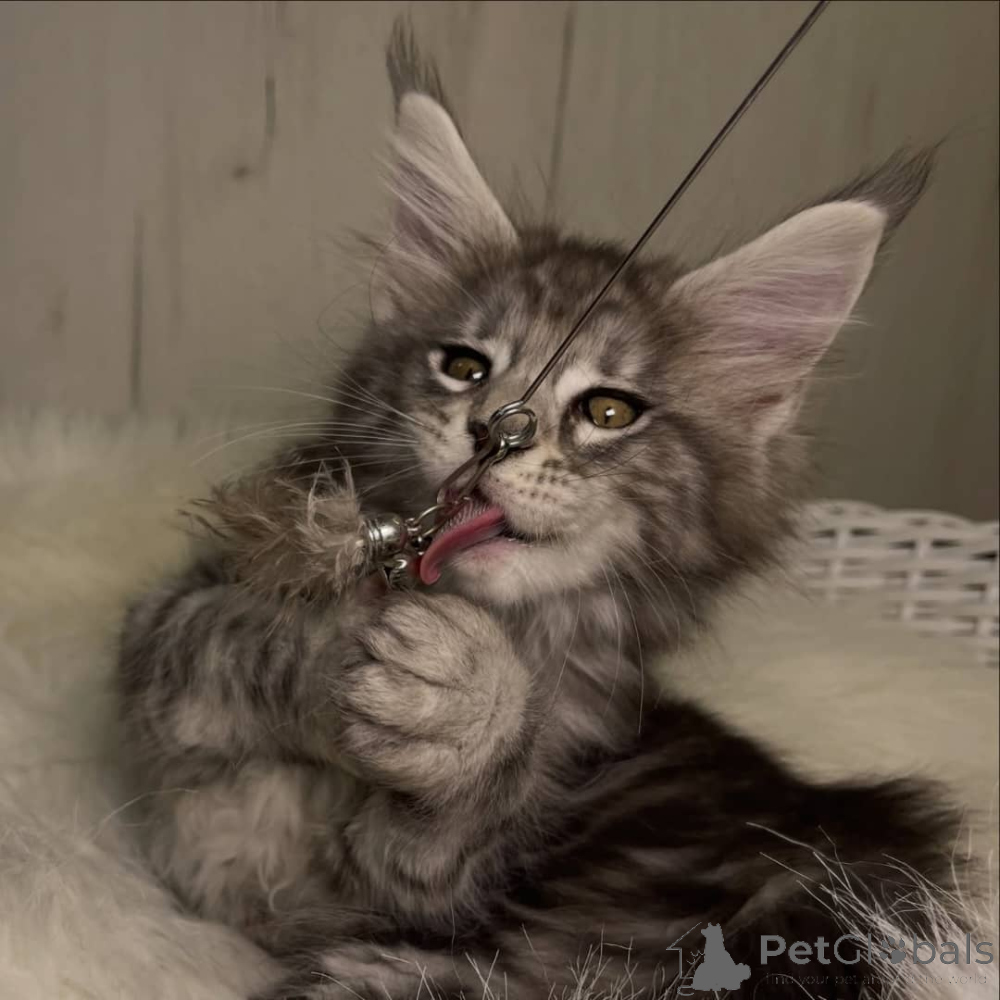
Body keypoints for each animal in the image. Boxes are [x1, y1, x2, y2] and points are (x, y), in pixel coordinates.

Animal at [117, 23, 960, 1000]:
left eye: (608, 412)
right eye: (463, 366)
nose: (493, 429)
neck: (509, 624)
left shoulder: (435, 889)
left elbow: (442, 838)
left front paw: (472, 709)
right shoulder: (164, 648)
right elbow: (227, 638)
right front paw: (347, 641)